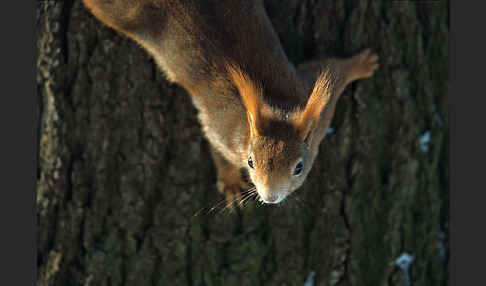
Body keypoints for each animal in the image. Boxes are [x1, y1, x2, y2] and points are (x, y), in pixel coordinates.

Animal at [83, 0, 380, 206]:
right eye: (250, 162)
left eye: (299, 167)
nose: (270, 197)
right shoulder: (222, 127)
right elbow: (215, 145)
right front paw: (231, 183)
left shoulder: (317, 99)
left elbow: (334, 69)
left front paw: (363, 63)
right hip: (125, 14)